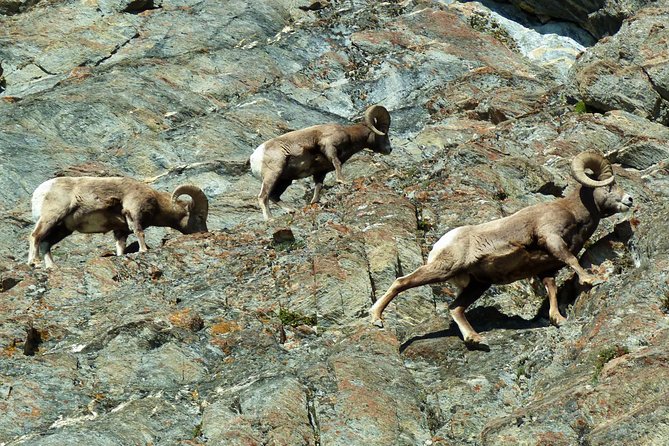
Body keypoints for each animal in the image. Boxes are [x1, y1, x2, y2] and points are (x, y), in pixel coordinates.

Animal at [28, 177, 209, 268]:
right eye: (200, 216)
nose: (204, 233)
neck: (156, 202)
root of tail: (40, 191)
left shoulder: (120, 231)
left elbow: (120, 247)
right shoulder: (134, 213)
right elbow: (139, 232)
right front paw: (143, 251)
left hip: (63, 228)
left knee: (45, 243)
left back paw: (52, 267)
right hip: (52, 217)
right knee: (35, 236)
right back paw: (34, 263)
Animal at [250, 106, 392, 221]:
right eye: (384, 131)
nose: (390, 149)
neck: (349, 135)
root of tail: (254, 157)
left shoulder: (320, 172)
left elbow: (318, 187)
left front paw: (314, 202)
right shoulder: (329, 146)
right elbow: (337, 163)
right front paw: (342, 181)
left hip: (284, 180)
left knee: (274, 196)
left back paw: (291, 210)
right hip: (273, 175)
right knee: (263, 197)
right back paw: (270, 219)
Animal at [368, 153, 636, 348]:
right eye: (610, 186)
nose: (630, 200)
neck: (574, 212)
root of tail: (441, 243)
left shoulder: (546, 267)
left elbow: (551, 289)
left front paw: (557, 319)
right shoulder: (552, 240)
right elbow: (572, 261)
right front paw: (592, 280)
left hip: (478, 285)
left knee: (455, 308)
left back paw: (475, 339)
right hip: (443, 269)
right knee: (401, 282)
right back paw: (376, 318)